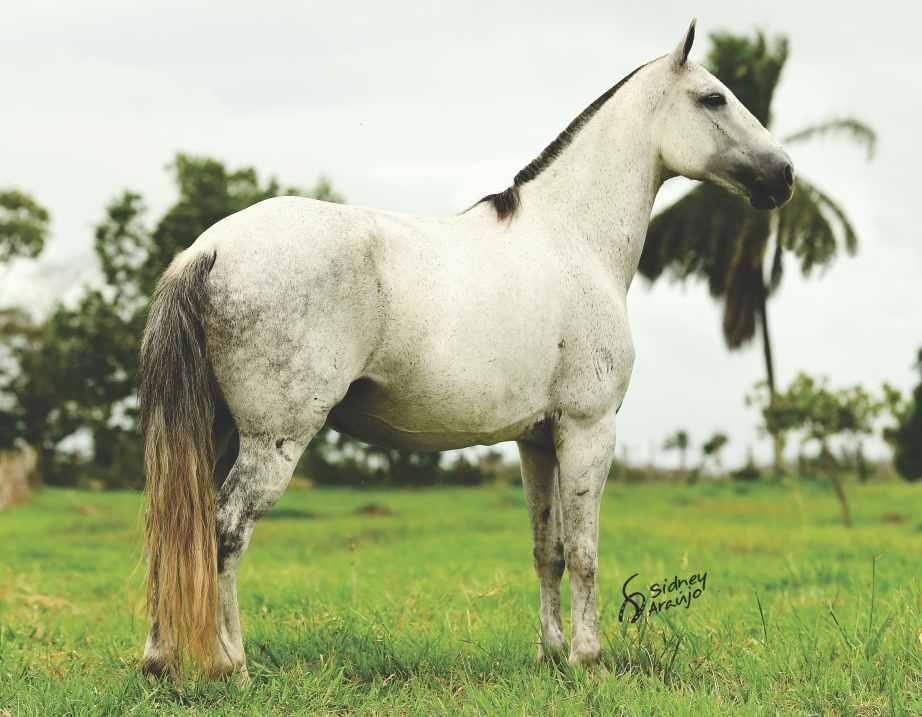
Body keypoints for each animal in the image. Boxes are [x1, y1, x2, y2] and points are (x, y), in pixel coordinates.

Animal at [137, 19, 792, 676]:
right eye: (714, 98)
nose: (783, 175)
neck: (572, 238)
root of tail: (209, 249)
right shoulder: (588, 428)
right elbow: (585, 551)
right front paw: (589, 658)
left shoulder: (537, 439)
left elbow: (548, 549)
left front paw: (552, 654)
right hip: (272, 441)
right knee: (225, 533)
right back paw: (231, 667)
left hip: (216, 432)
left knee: (178, 530)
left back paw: (160, 660)